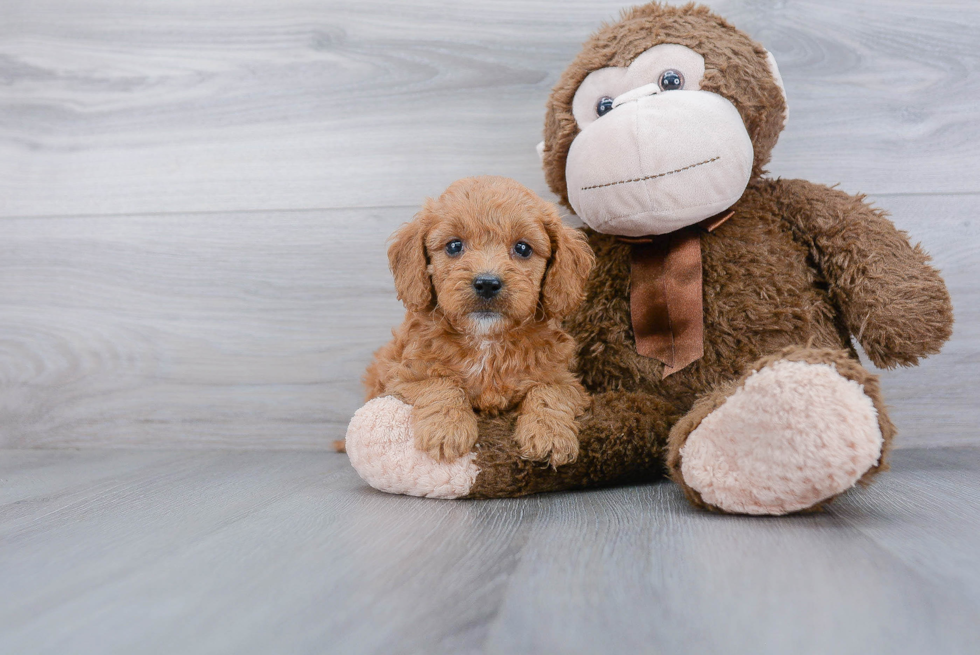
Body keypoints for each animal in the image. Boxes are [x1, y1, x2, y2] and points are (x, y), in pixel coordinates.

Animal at [362, 176, 592, 466]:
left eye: (523, 248)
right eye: (454, 246)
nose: (487, 283)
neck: (486, 341)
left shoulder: (563, 378)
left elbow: (548, 393)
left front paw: (548, 434)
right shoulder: (403, 374)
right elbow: (439, 382)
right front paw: (447, 428)